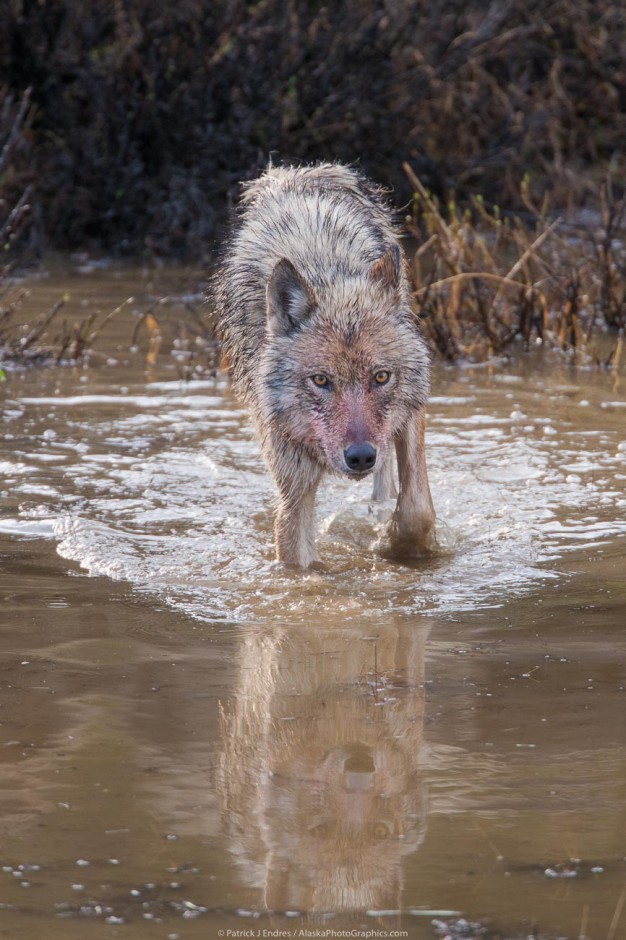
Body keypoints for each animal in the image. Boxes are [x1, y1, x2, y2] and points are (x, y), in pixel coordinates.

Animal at [212, 163, 432, 564]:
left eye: (381, 377)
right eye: (320, 380)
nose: (360, 457)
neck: (324, 274)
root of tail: (299, 170)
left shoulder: (410, 413)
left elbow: (417, 511)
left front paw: (394, 543)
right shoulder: (293, 481)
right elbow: (296, 559)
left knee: (388, 480)